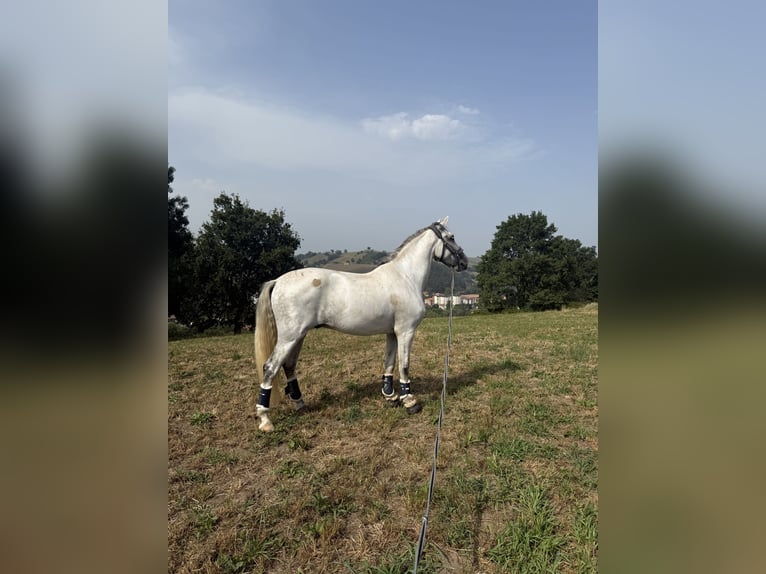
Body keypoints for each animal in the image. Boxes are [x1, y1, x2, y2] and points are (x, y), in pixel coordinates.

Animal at [253, 216, 468, 431]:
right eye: (451, 237)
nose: (464, 262)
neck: (406, 277)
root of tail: (278, 281)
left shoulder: (392, 332)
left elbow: (389, 363)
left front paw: (391, 397)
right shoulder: (406, 331)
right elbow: (404, 365)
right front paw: (409, 401)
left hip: (298, 336)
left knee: (288, 366)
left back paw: (299, 403)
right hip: (289, 338)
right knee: (270, 368)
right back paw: (265, 420)